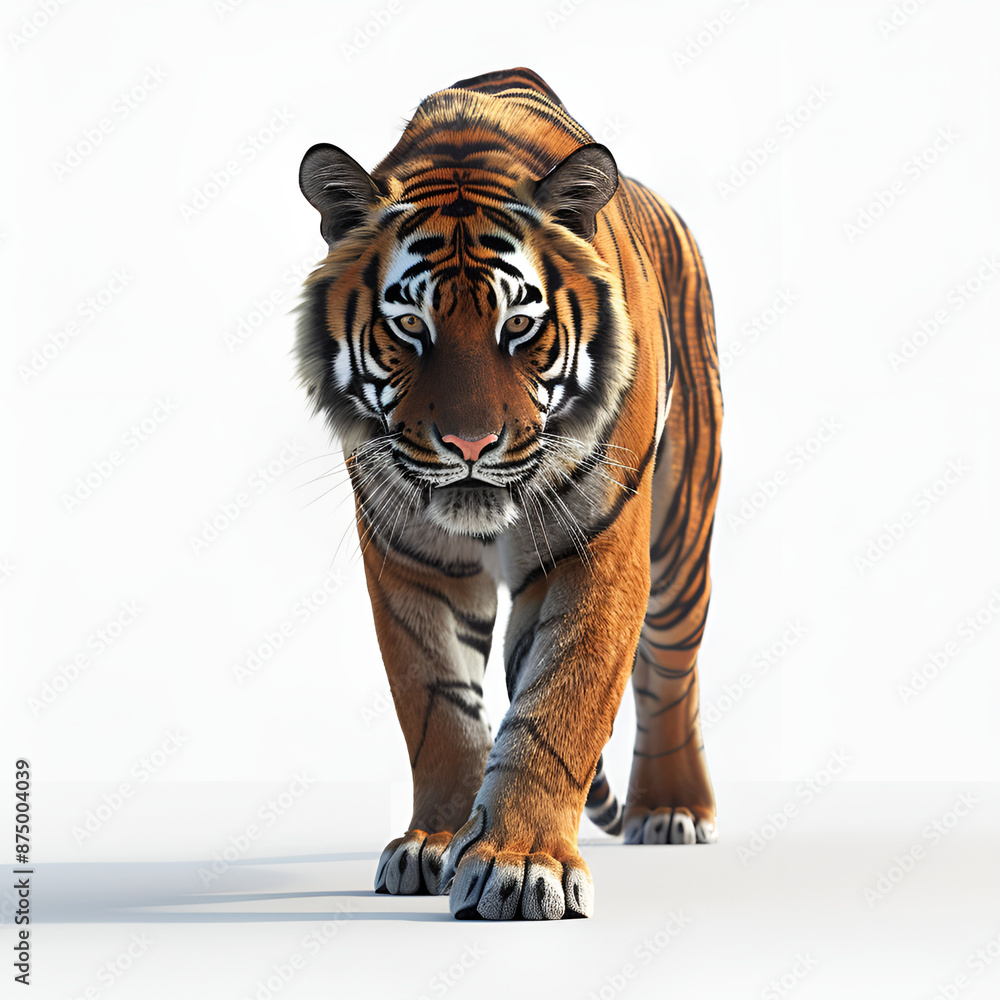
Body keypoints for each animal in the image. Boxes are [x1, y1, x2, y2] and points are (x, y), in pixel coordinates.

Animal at [296, 67, 722, 920]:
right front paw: (433, 841)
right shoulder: (410, 558)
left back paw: (673, 808)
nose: (469, 445)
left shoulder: (596, 548)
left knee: (671, 671)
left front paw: (522, 866)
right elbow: (437, 710)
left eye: (519, 326)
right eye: (410, 327)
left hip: (682, 534)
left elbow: (558, 709)